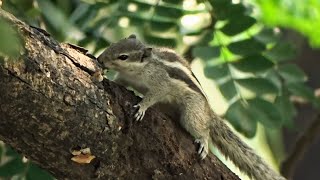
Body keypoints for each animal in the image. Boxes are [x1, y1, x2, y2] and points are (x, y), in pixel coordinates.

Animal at [96, 34, 286, 180]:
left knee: (204, 129)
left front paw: (142, 107)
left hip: (192, 114)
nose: (99, 59)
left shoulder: (160, 83)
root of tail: (207, 111)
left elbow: (154, 95)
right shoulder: (126, 79)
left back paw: (203, 141)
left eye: (123, 57)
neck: (140, 69)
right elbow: (120, 81)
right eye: (112, 45)